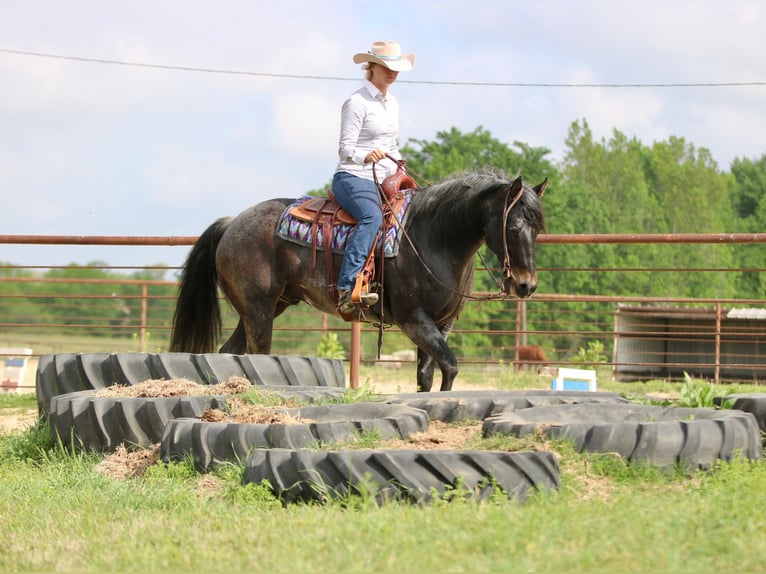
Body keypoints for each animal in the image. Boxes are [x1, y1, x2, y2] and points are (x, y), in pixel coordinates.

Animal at [169, 171, 547, 392]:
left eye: (538, 227)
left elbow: (429, 374)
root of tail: (232, 223)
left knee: (228, 353)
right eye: (514, 227)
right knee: (258, 356)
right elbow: (451, 366)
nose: (526, 285)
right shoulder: (414, 320)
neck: (433, 236)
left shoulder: (442, 324)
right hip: (259, 311)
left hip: (264, 309)